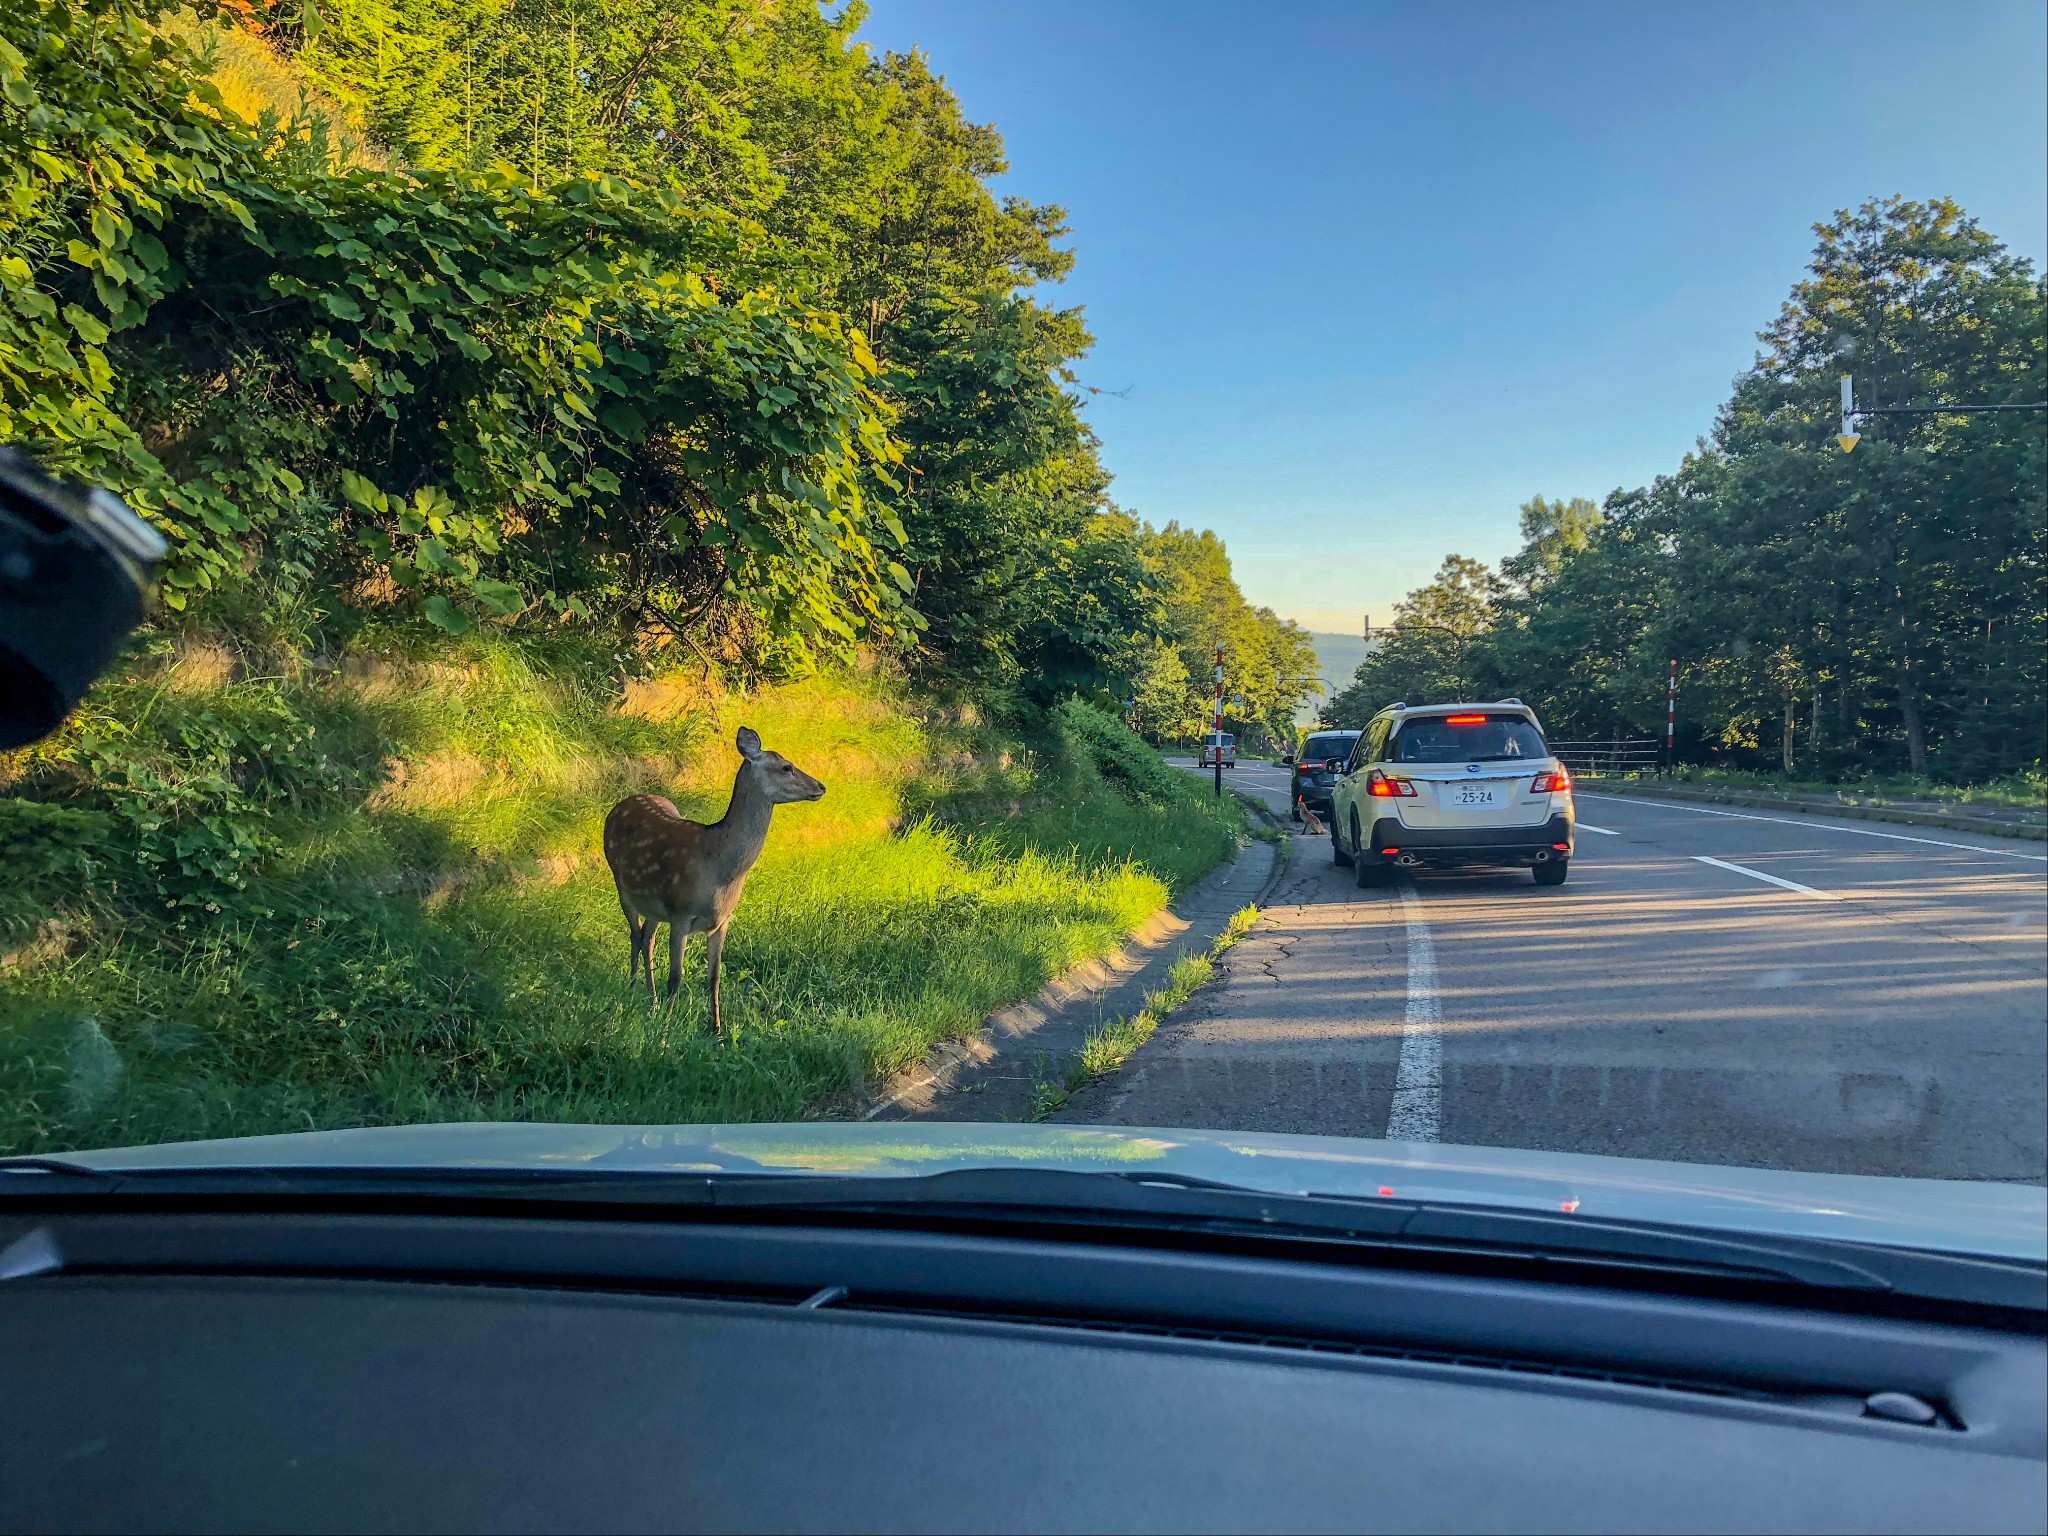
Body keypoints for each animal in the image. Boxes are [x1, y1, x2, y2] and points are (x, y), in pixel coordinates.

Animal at [602, 729, 827, 1036]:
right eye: (786, 767)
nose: (821, 786)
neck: (720, 872)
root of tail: (621, 804)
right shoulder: (681, 912)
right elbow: (676, 976)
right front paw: (666, 1030)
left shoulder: (722, 920)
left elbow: (715, 976)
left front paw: (716, 1029)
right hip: (623, 886)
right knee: (635, 936)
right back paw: (633, 990)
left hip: (655, 906)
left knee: (647, 939)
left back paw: (652, 1001)